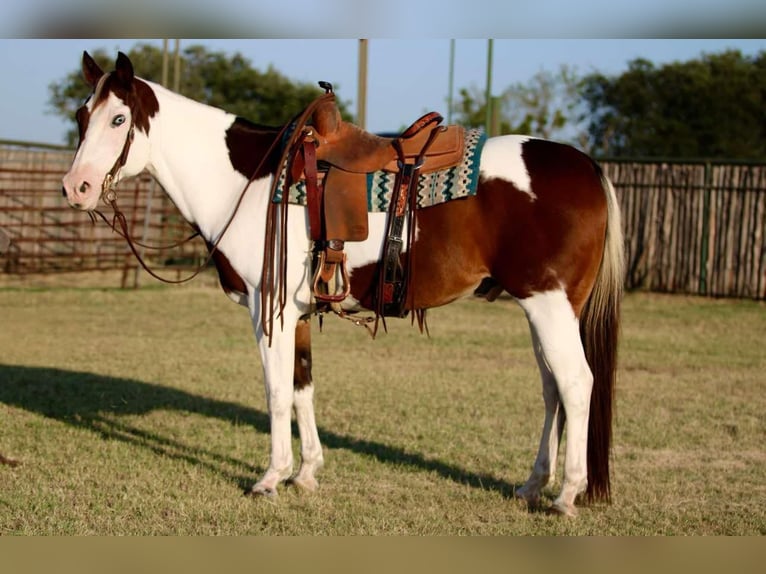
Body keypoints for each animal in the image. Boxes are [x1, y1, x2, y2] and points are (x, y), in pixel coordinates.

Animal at [61, 51, 624, 517]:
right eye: (81, 118)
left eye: (118, 119)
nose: (75, 188)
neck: (249, 182)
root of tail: (588, 166)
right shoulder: (297, 313)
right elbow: (301, 386)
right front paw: (306, 473)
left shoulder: (268, 310)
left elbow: (275, 391)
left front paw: (270, 477)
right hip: (541, 310)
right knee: (552, 389)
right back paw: (533, 486)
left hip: (549, 307)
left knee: (577, 384)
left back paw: (567, 495)